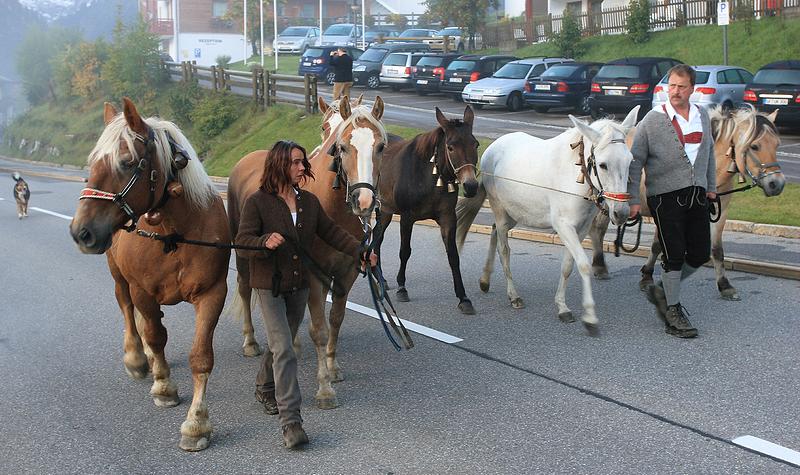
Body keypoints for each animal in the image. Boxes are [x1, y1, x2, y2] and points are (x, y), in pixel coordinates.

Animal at [70, 98, 230, 452]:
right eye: (92, 161)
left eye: (127, 162)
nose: (81, 232)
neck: (176, 232)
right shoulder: (141, 289)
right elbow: (155, 337)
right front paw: (163, 387)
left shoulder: (213, 293)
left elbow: (201, 357)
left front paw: (197, 424)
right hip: (120, 278)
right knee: (130, 312)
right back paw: (137, 357)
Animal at [228, 96, 388, 410]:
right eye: (343, 146)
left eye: (380, 147)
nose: (363, 201)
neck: (333, 206)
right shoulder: (314, 276)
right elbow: (318, 329)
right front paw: (324, 389)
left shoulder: (346, 274)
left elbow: (335, 320)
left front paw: (333, 366)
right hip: (243, 255)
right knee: (245, 288)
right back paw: (251, 342)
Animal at [372, 108, 478, 316]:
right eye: (450, 147)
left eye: (475, 144)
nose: (470, 186)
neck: (430, 176)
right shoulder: (407, 217)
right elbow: (405, 251)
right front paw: (402, 287)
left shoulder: (448, 218)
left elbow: (453, 256)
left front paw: (463, 297)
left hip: (386, 210)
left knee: (377, 237)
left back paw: (381, 278)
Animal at [456, 106, 636, 336]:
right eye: (603, 165)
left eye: (630, 161)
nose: (621, 213)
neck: (576, 175)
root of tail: (492, 148)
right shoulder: (564, 226)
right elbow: (583, 265)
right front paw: (590, 317)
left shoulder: (580, 229)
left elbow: (568, 266)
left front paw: (562, 306)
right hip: (500, 209)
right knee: (503, 249)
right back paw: (513, 295)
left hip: (514, 213)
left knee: (495, 230)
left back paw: (485, 279)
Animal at [588, 107, 780, 302]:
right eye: (755, 146)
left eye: (777, 144)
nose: (776, 184)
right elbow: (659, 246)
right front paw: (648, 277)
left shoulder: (720, 211)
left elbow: (716, 249)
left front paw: (725, 285)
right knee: (598, 229)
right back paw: (600, 266)